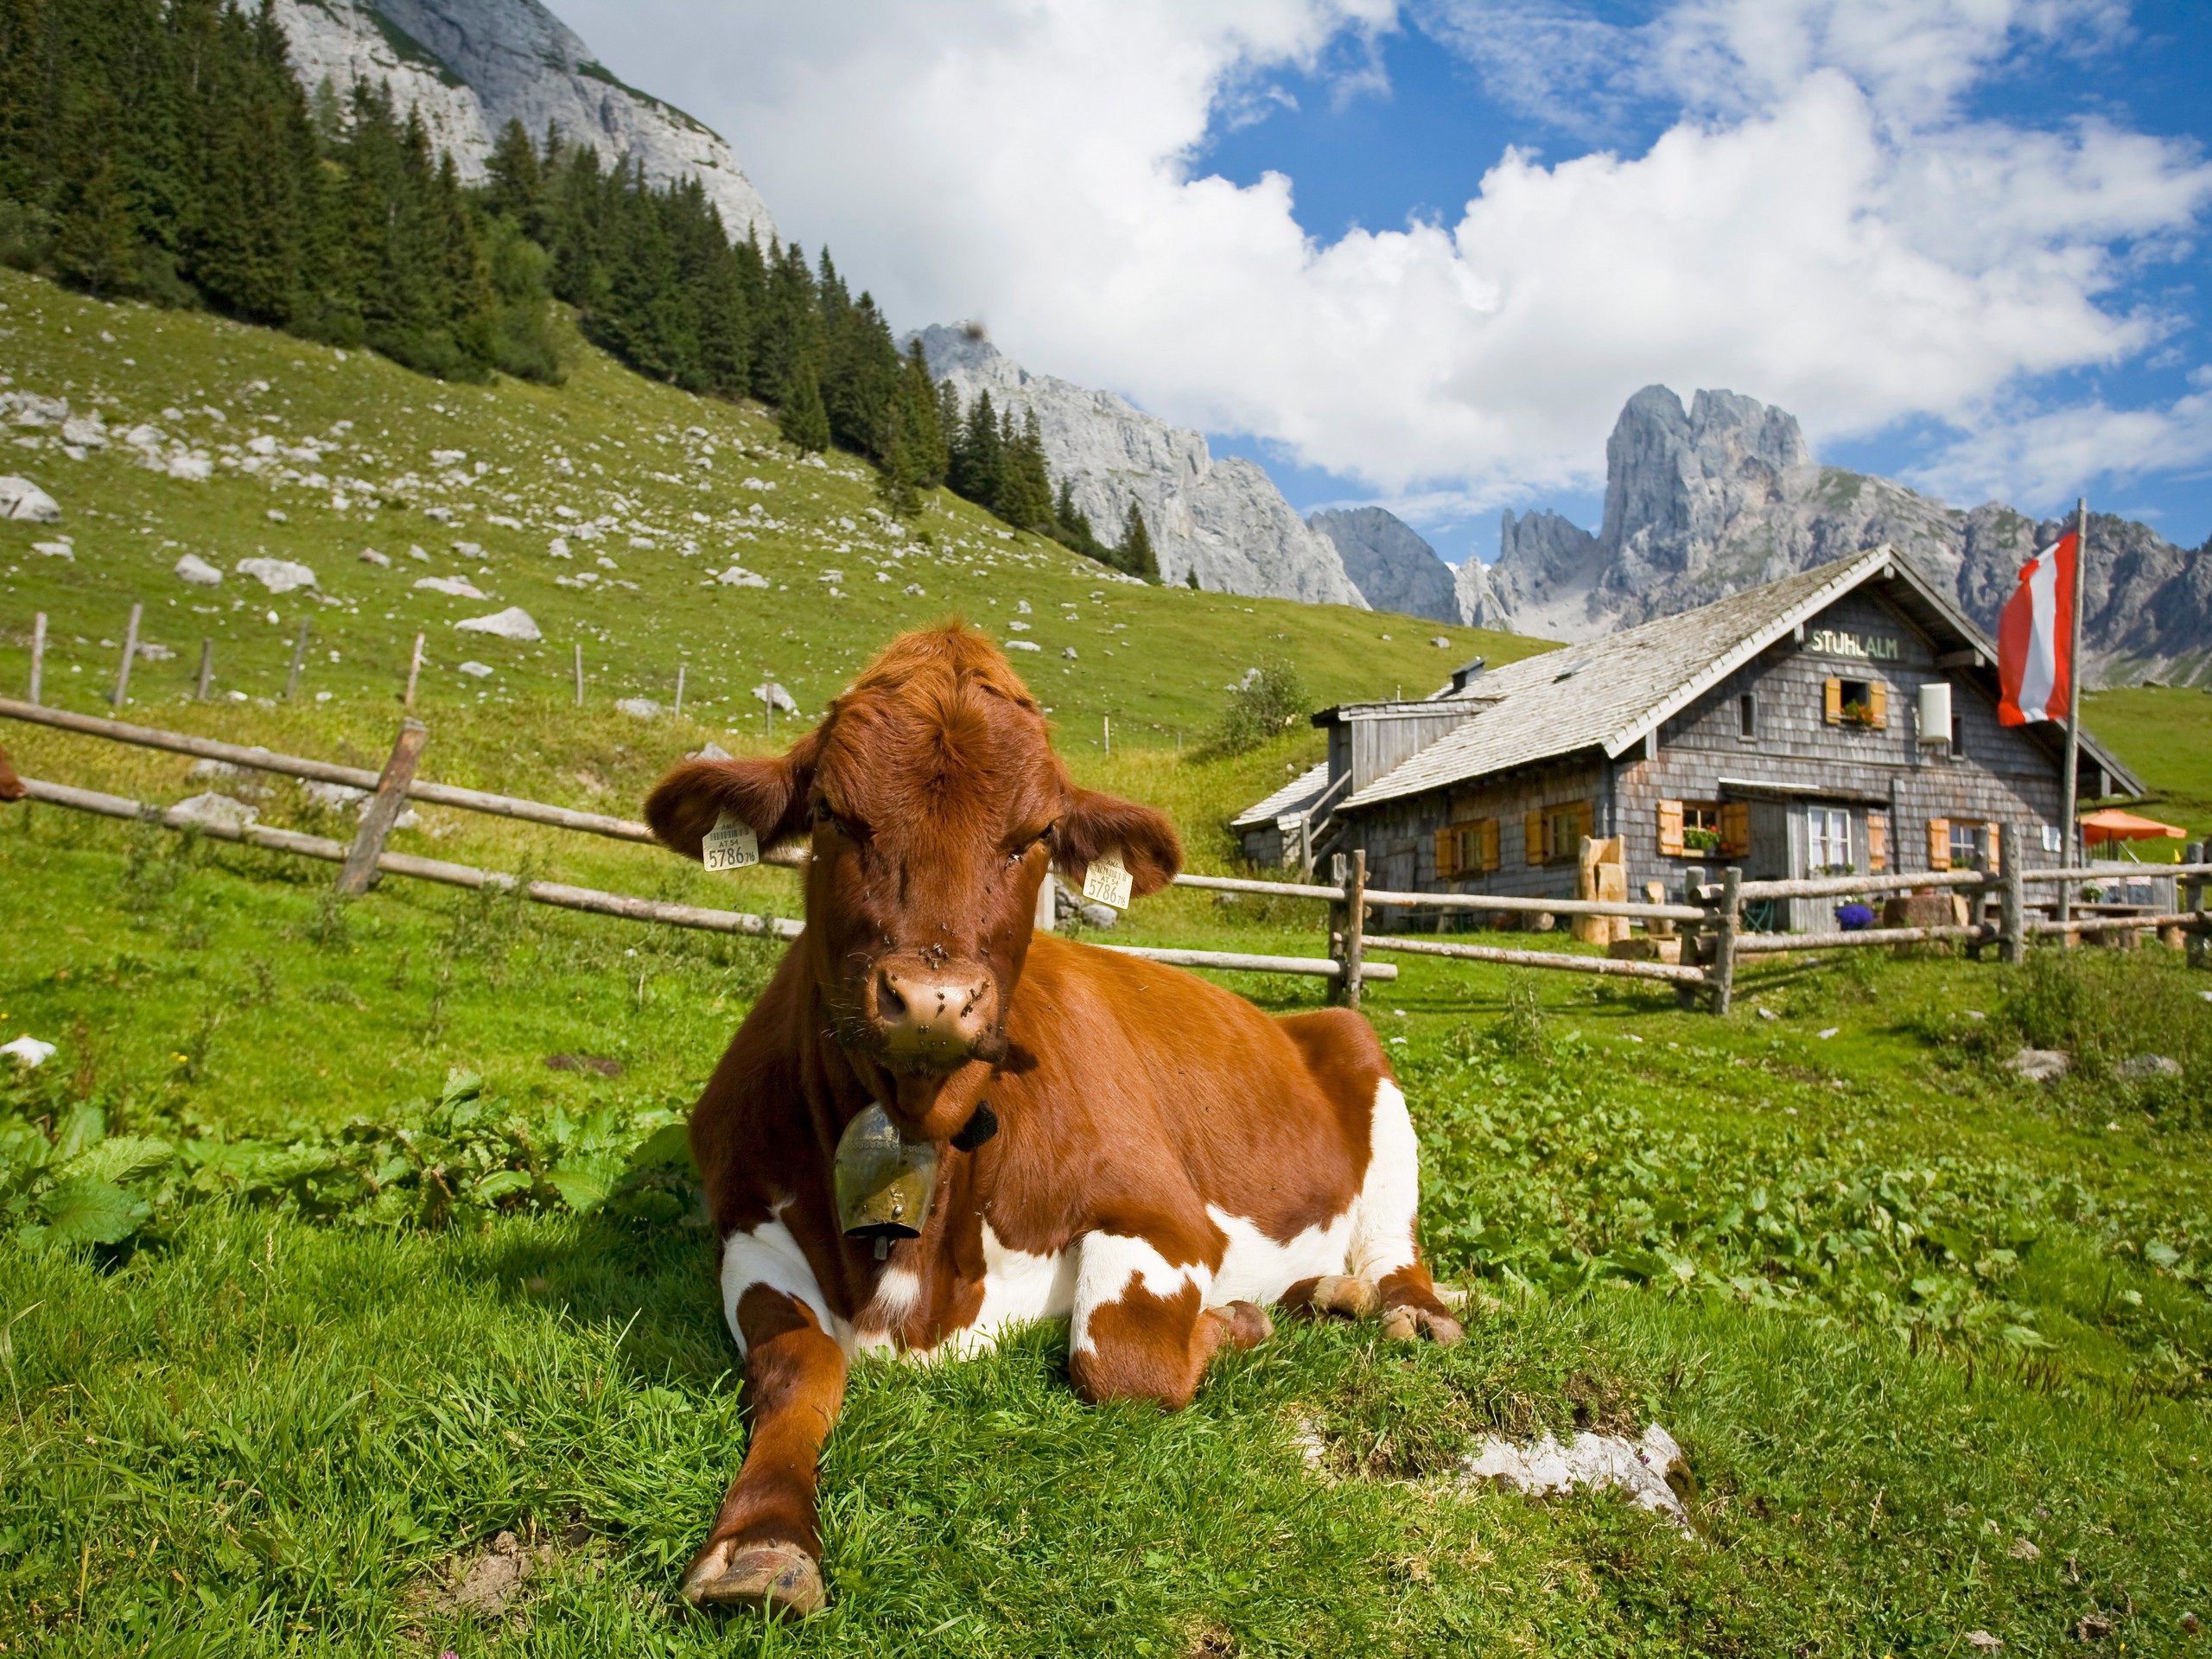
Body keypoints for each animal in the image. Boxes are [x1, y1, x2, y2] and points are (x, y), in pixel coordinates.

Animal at [645, 628, 1459, 1628]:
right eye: (833, 815)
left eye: (1033, 836)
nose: (933, 999)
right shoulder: (747, 1225)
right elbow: (801, 1364)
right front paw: (760, 1542)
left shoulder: (1162, 1215)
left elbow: (1118, 1362)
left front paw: (1234, 1322)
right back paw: (1325, 1296)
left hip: (1362, 1059)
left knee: (1394, 1248)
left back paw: (1401, 1311)